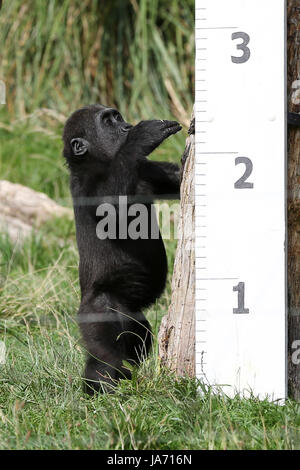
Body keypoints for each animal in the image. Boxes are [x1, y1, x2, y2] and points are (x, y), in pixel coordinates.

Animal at [63, 105, 180, 392]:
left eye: (118, 117)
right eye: (109, 121)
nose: (126, 126)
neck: (98, 161)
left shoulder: (145, 168)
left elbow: (177, 178)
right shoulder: (87, 182)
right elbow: (111, 205)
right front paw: (142, 136)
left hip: (132, 315)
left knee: (138, 336)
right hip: (95, 311)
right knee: (105, 358)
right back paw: (99, 387)